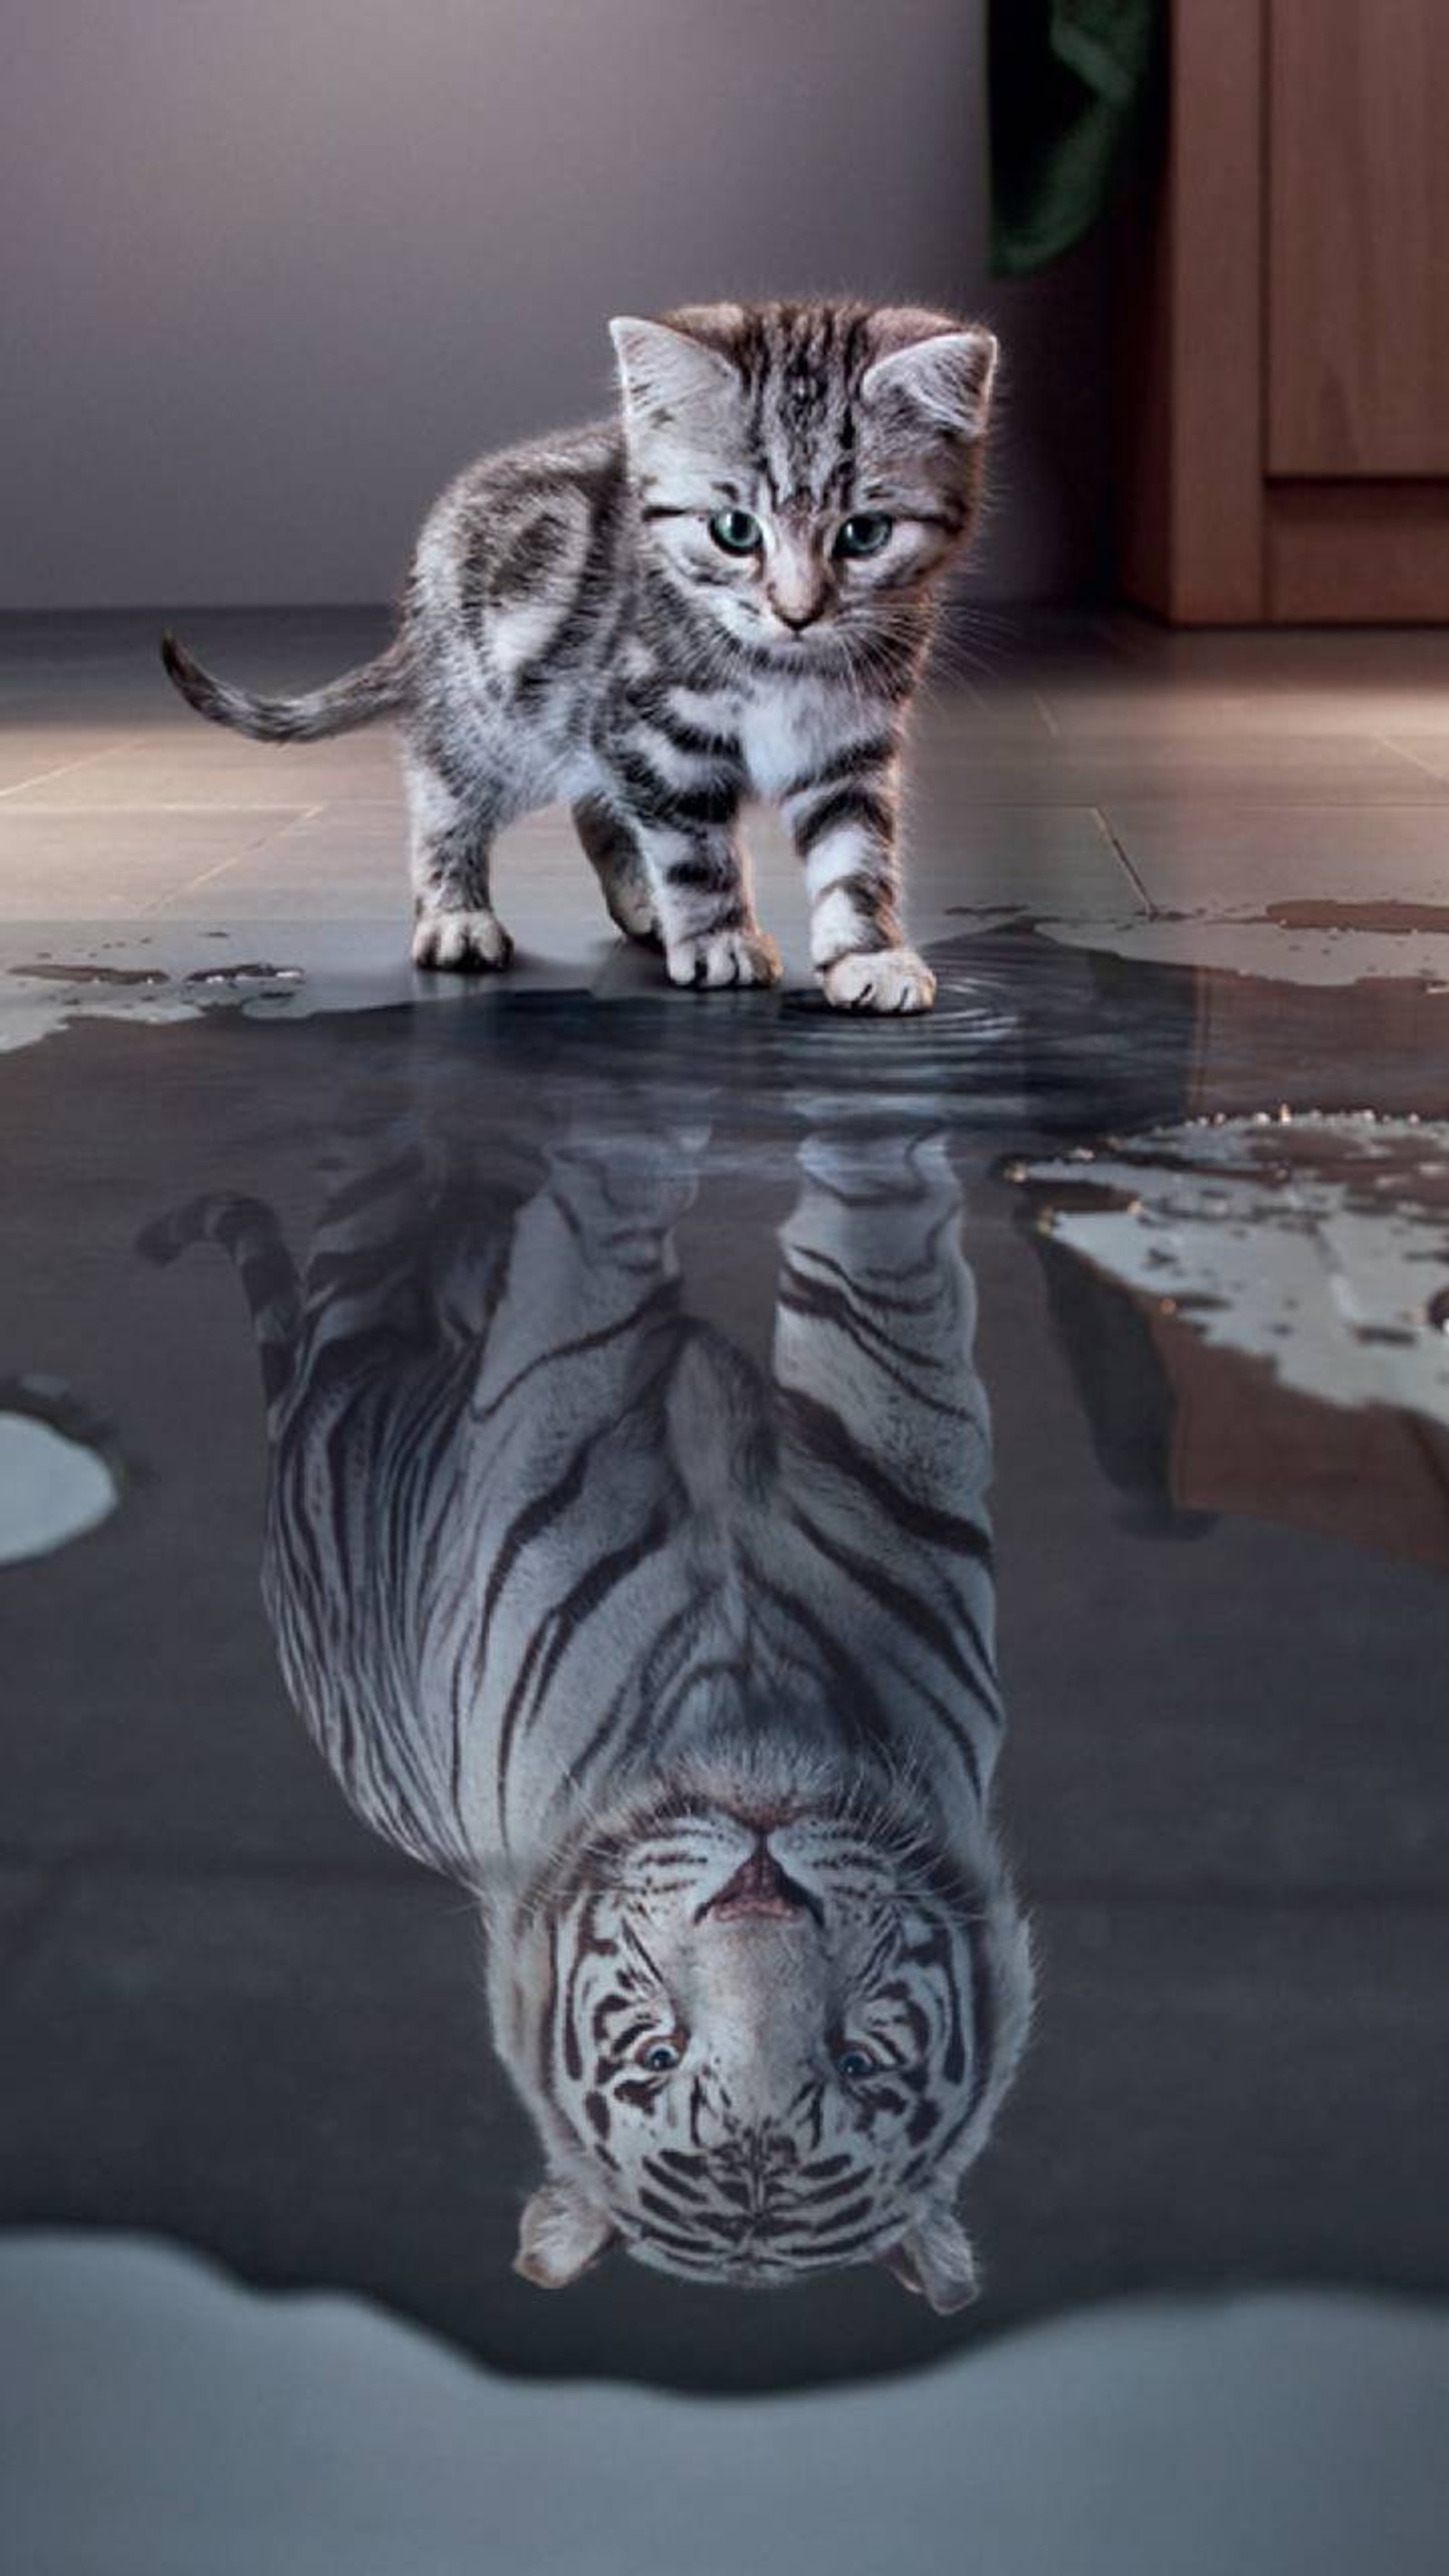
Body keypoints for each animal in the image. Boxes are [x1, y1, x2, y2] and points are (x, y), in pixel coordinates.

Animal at [161, 303, 998, 1014]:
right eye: (735, 530)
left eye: (864, 534)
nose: (798, 613)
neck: (782, 670)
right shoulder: (652, 727)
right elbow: (693, 847)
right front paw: (719, 937)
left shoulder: (849, 741)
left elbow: (856, 854)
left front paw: (869, 954)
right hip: (494, 722)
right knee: (442, 794)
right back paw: (456, 915)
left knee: (596, 809)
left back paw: (644, 906)